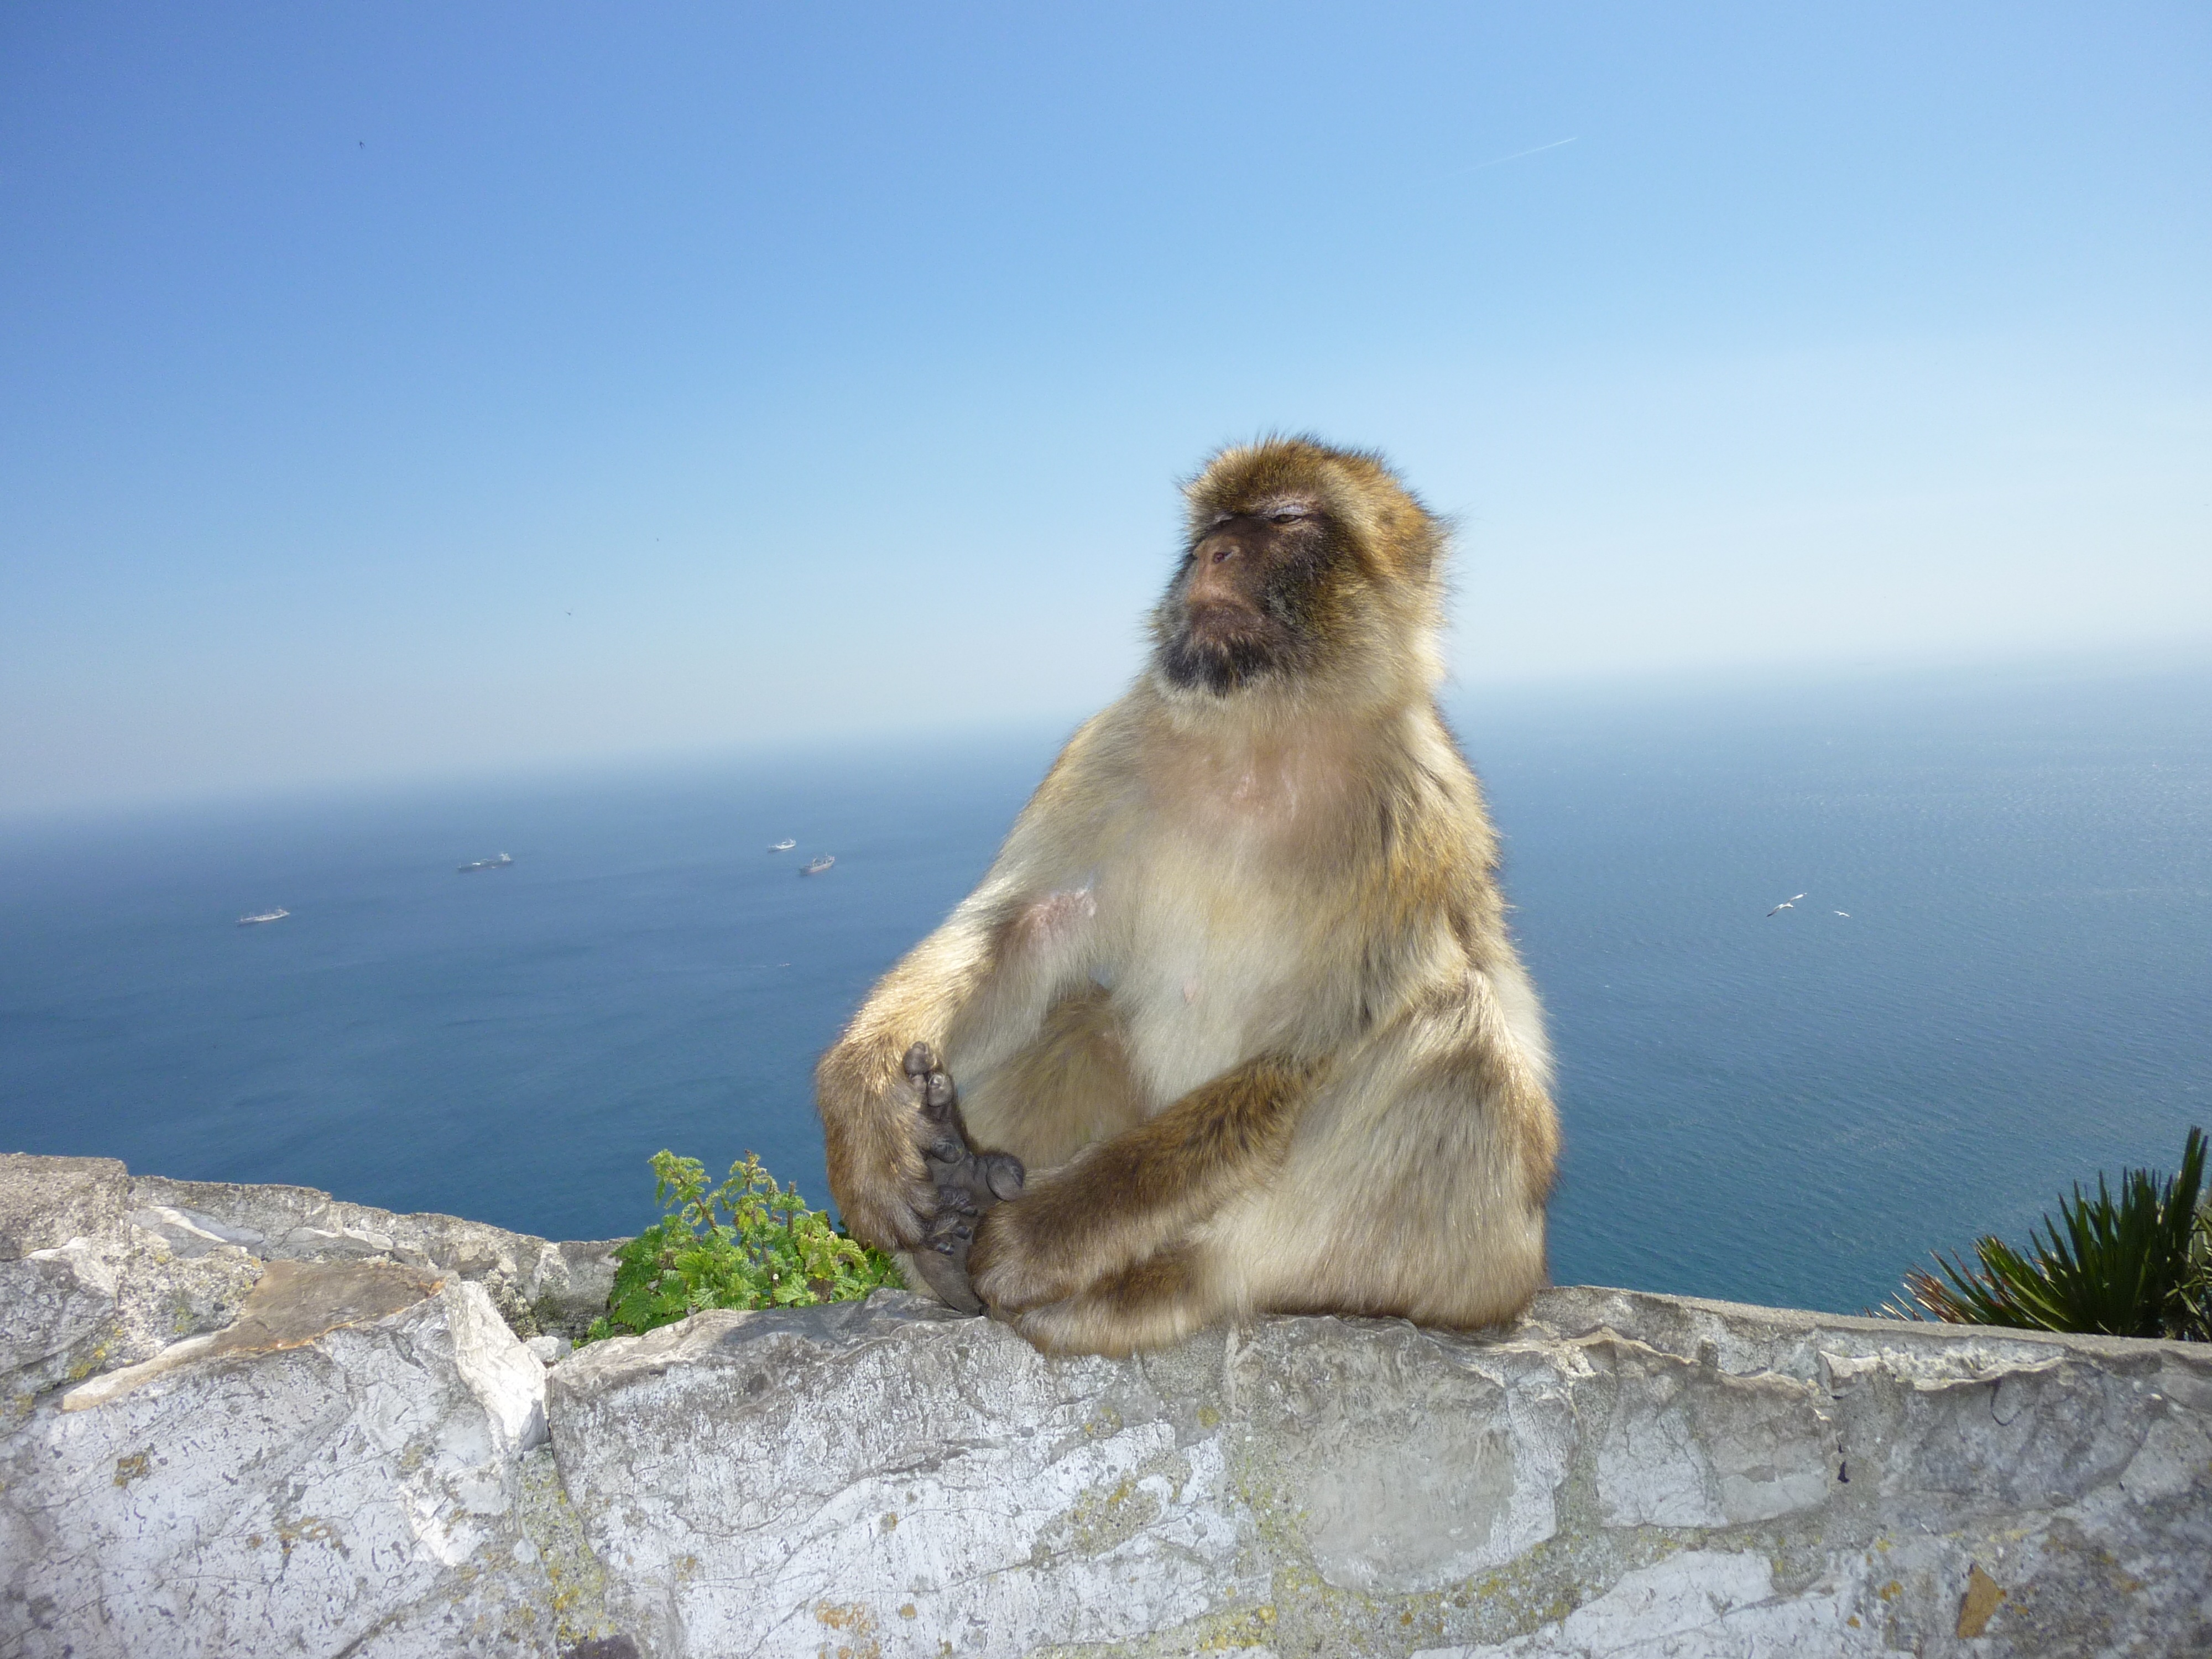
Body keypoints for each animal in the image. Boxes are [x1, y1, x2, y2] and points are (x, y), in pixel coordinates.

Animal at [814, 436, 1557, 1354]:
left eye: (1286, 519)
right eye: (1210, 526)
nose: (1213, 555)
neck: (1261, 744)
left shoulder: (1417, 816)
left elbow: (1313, 1051)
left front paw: (1044, 1234)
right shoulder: (1114, 746)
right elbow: (1025, 922)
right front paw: (865, 1102)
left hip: (1475, 1266)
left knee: (1458, 1042)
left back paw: (1157, 1285)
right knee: (1077, 1018)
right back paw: (955, 1215)